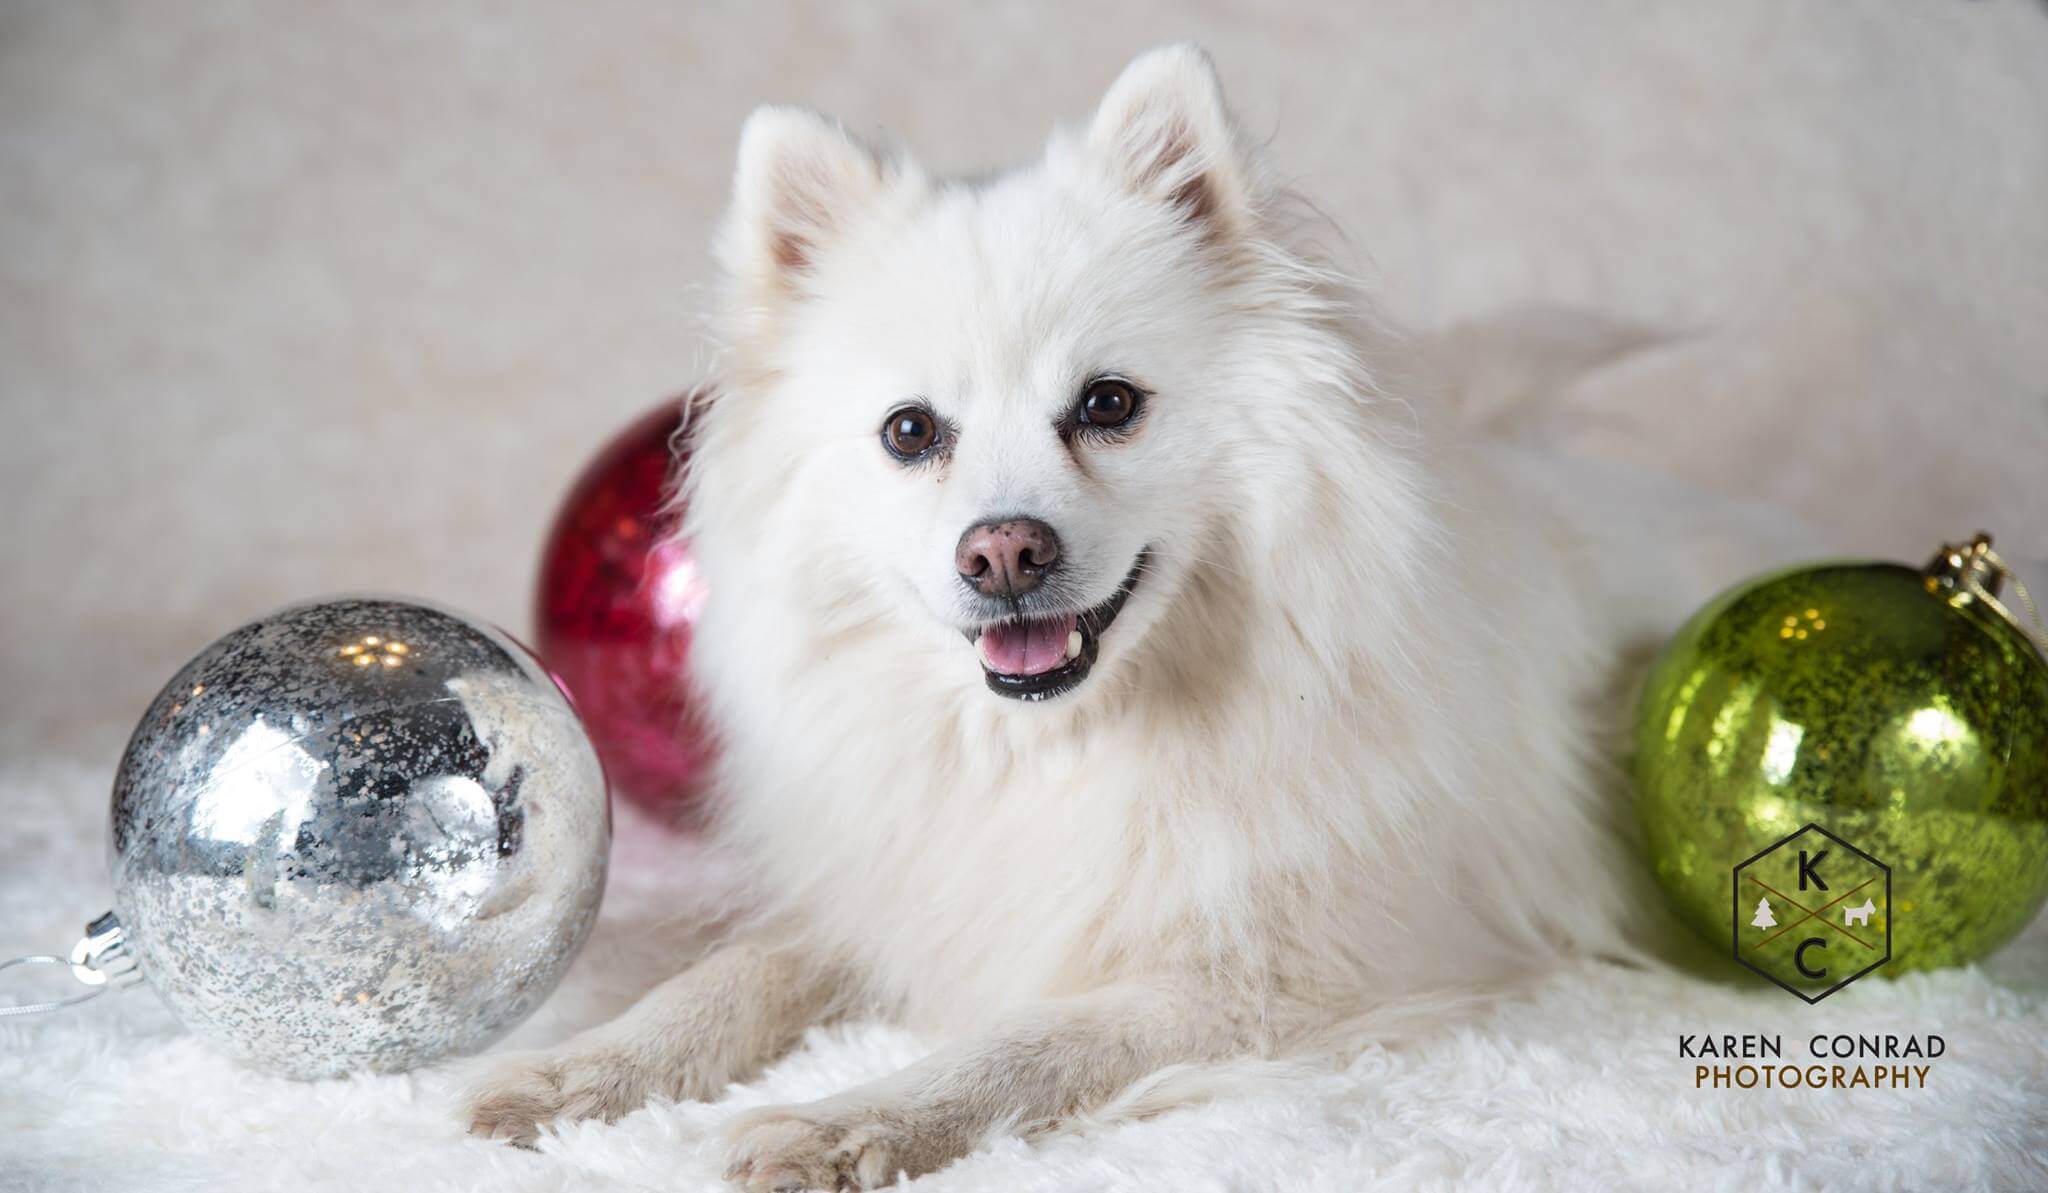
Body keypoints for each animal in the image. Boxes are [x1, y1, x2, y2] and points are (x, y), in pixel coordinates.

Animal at [464, 41, 1777, 1186]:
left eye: (1106, 404)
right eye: (909, 431)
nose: (1003, 550)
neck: (1062, 750)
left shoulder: (1280, 976)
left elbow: (1025, 1042)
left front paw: (848, 1120)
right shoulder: (904, 888)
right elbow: (726, 974)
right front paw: (575, 1076)